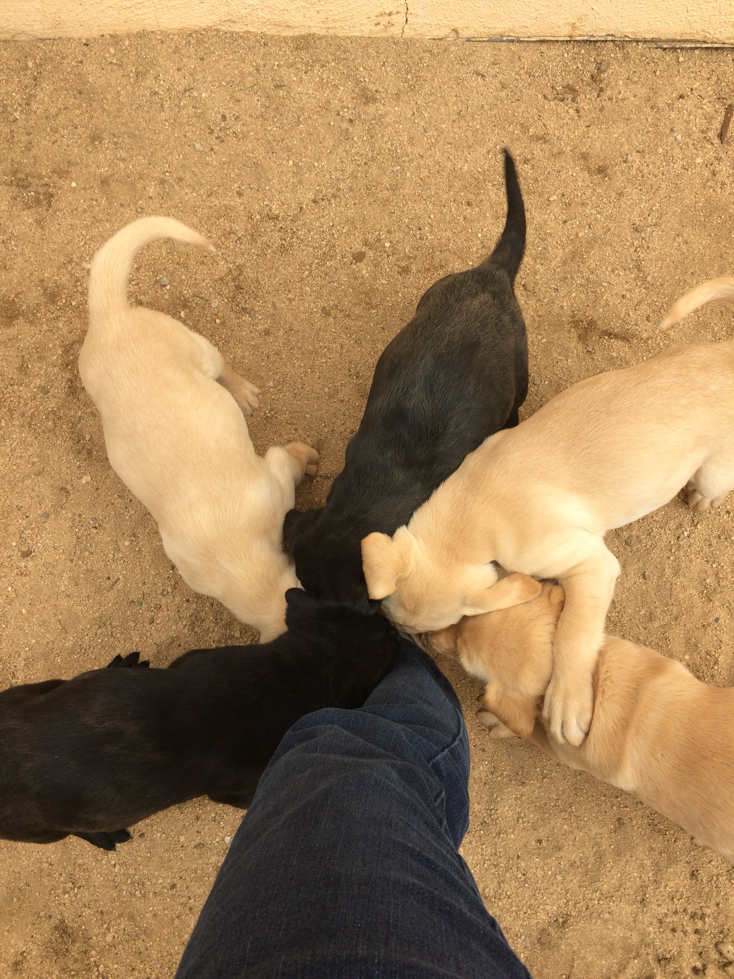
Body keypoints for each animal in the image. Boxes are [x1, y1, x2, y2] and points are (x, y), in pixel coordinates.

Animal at [0, 589, 399, 850]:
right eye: (387, 643)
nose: (394, 628)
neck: (310, 668)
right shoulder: (229, 789)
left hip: (38, 689)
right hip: (47, 830)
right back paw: (104, 835)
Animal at [79, 217, 319, 640]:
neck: (235, 555)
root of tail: (109, 313)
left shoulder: (274, 476)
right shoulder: (276, 471)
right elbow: (294, 455)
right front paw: (310, 460)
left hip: (199, 347)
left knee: (225, 370)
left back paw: (244, 394)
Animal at [362, 276, 734, 746]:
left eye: (430, 631)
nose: (411, 642)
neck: (474, 514)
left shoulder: (592, 564)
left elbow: (574, 632)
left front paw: (568, 702)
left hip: (717, 466)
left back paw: (703, 497)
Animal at [427, 579, 734, 862]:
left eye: (459, 654)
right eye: (466, 617)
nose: (431, 633)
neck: (589, 682)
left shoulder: (560, 749)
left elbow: (527, 727)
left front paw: (494, 720)